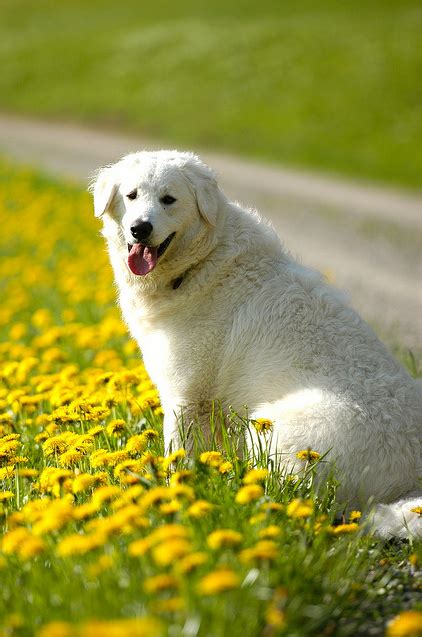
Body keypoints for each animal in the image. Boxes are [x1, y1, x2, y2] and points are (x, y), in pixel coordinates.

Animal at [91, 150, 422, 536]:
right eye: (131, 196)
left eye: (168, 199)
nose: (140, 228)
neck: (201, 261)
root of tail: (411, 482)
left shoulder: (186, 398)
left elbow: (177, 459)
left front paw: (175, 499)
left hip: (274, 427)